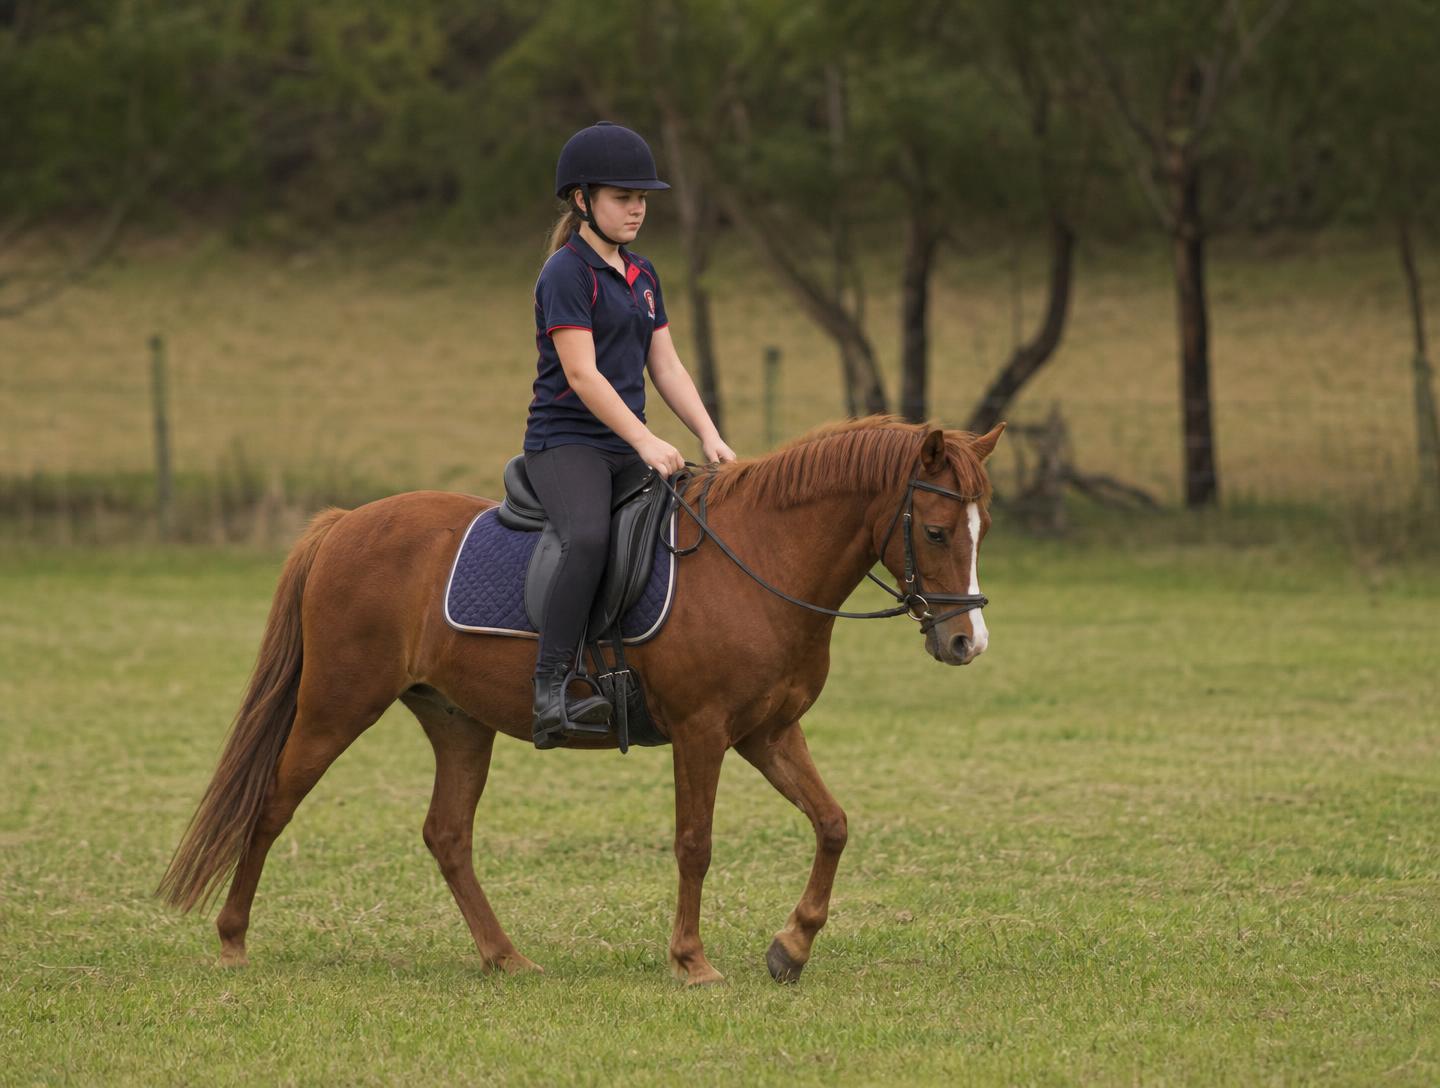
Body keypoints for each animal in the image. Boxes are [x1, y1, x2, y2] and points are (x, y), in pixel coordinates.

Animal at [157, 415, 1004, 985]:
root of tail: (341, 526)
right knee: (272, 804)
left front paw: (790, 948)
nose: (967, 642)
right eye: (935, 530)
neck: (761, 560)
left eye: (981, 527)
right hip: (337, 704)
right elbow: (695, 844)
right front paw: (692, 961)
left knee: (446, 835)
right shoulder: (703, 732)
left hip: (456, 721)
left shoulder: (769, 731)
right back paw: (232, 939)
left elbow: (832, 825)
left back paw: (505, 957)